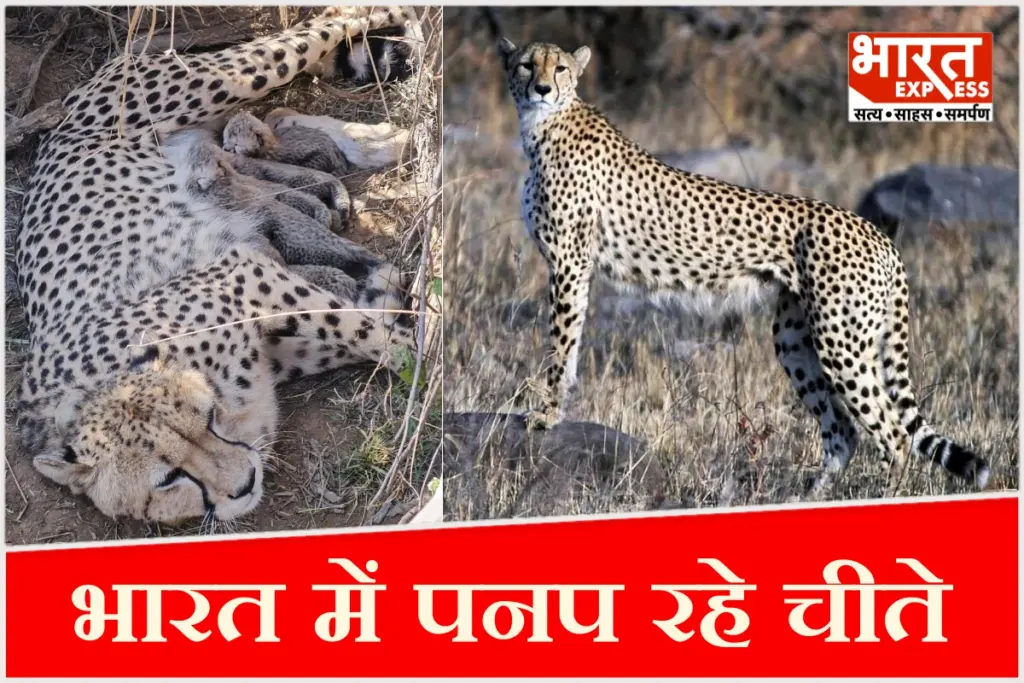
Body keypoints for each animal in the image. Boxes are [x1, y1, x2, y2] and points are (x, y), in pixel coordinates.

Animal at [13, 6, 422, 526]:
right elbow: (364, 324)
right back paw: (377, 143)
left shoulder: (246, 275)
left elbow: (372, 334)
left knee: (330, 23)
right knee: (278, 114)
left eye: (206, 419)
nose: (244, 483)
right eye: (168, 479)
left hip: (224, 78)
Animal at [496, 37, 991, 497]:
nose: (542, 89)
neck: (543, 125)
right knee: (843, 432)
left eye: (559, 68)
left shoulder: (569, 263)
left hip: (841, 341)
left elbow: (561, 344)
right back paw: (809, 498)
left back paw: (884, 495)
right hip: (796, 339)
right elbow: (570, 341)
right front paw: (553, 407)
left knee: (893, 433)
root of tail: (879, 234)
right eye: (526, 65)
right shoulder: (572, 266)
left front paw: (546, 412)